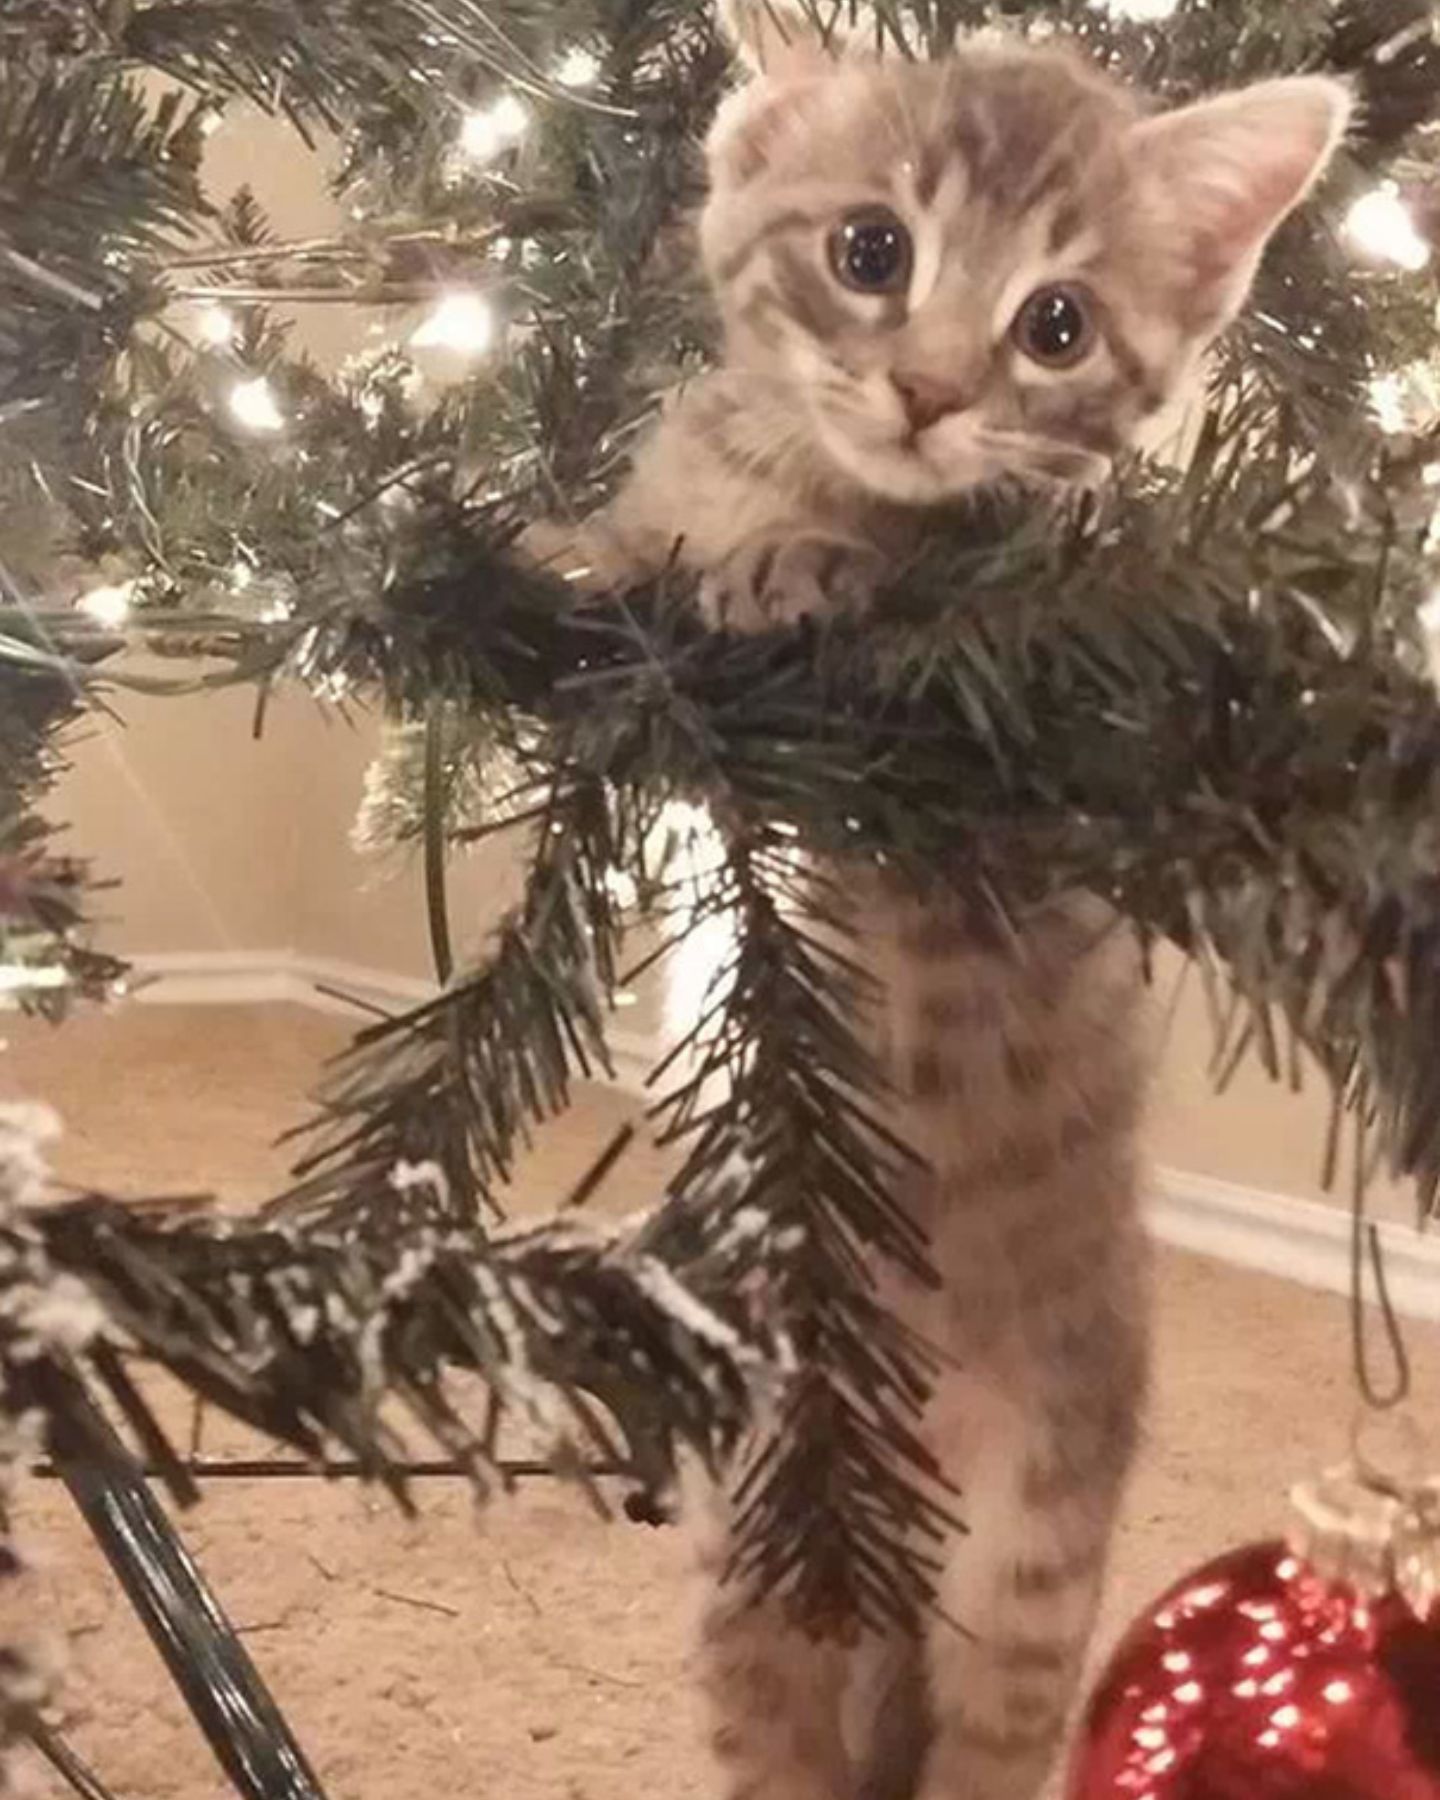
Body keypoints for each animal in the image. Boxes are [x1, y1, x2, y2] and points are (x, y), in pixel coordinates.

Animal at [532, 14, 1353, 1800]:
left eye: (1056, 326)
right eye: (871, 252)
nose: (926, 393)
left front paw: (795, 571)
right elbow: (615, 568)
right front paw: (553, 545)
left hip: (1030, 1559)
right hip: (755, 1564)